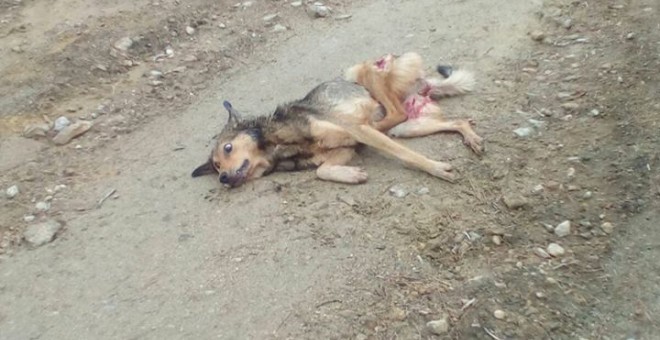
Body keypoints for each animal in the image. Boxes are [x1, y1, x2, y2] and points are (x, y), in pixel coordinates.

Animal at [193, 52, 482, 189]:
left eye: (227, 148)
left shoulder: (353, 130)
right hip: (409, 127)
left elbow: (406, 155)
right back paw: (471, 137)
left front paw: (436, 168)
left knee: (392, 112)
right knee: (455, 122)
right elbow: (322, 170)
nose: (223, 179)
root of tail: (424, 86)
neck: (277, 144)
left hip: (363, 72)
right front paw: (351, 175)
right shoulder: (343, 150)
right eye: (216, 167)